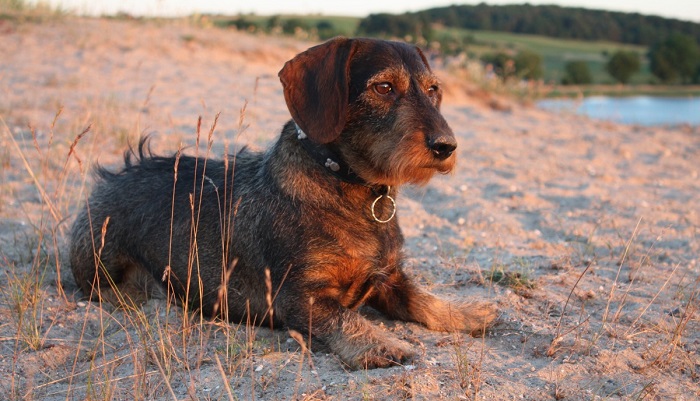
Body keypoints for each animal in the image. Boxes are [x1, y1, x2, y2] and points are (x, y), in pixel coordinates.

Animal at [69, 37, 498, 368]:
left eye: (433, 89)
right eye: (384, 87)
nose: (446, 146)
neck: (347, 184)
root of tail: (108, 182)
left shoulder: (388, 278)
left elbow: (422, 298)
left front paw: (467, 312)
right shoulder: (298, 296)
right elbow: (347, 320)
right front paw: (383, 344)